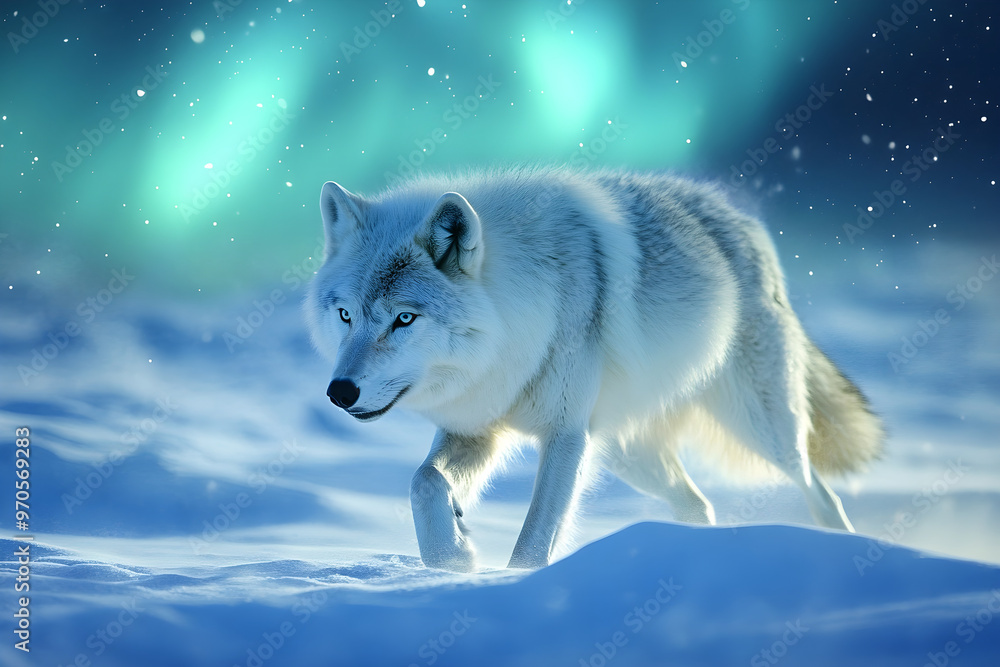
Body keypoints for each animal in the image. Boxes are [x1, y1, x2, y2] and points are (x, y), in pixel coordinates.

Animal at [305, 166, 884, 571]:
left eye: (404, 318)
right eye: (346, 315)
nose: (340, 392)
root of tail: (744, 221)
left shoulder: (565, 436)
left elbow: (534, 541)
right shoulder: (477, 428)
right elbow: (424, 483)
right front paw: (455, 555)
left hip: (762, 430)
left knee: (821, 492)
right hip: (629, 454)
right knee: (698, 506)